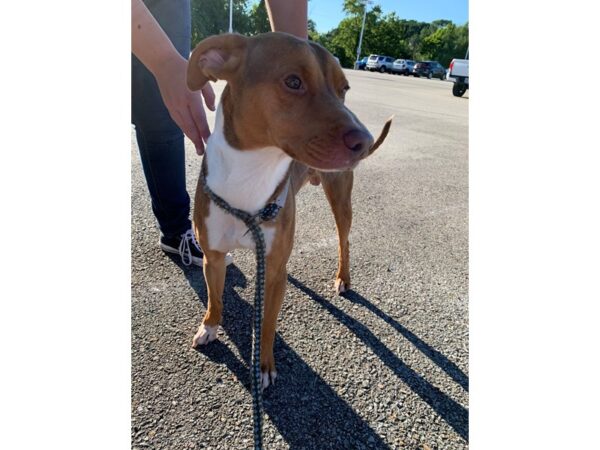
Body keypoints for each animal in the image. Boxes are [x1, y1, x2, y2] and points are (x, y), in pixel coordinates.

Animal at [189, 33, 394, 388]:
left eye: (344, 88)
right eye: (293, 81)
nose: (365, 142)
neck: (250, 174)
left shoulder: (273, 275)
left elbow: (268, 324)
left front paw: (263, 366)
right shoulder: (212, 258)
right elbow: (216, 298)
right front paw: (210, 326)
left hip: (340, 199)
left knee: (344, 240)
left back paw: (343, 277)